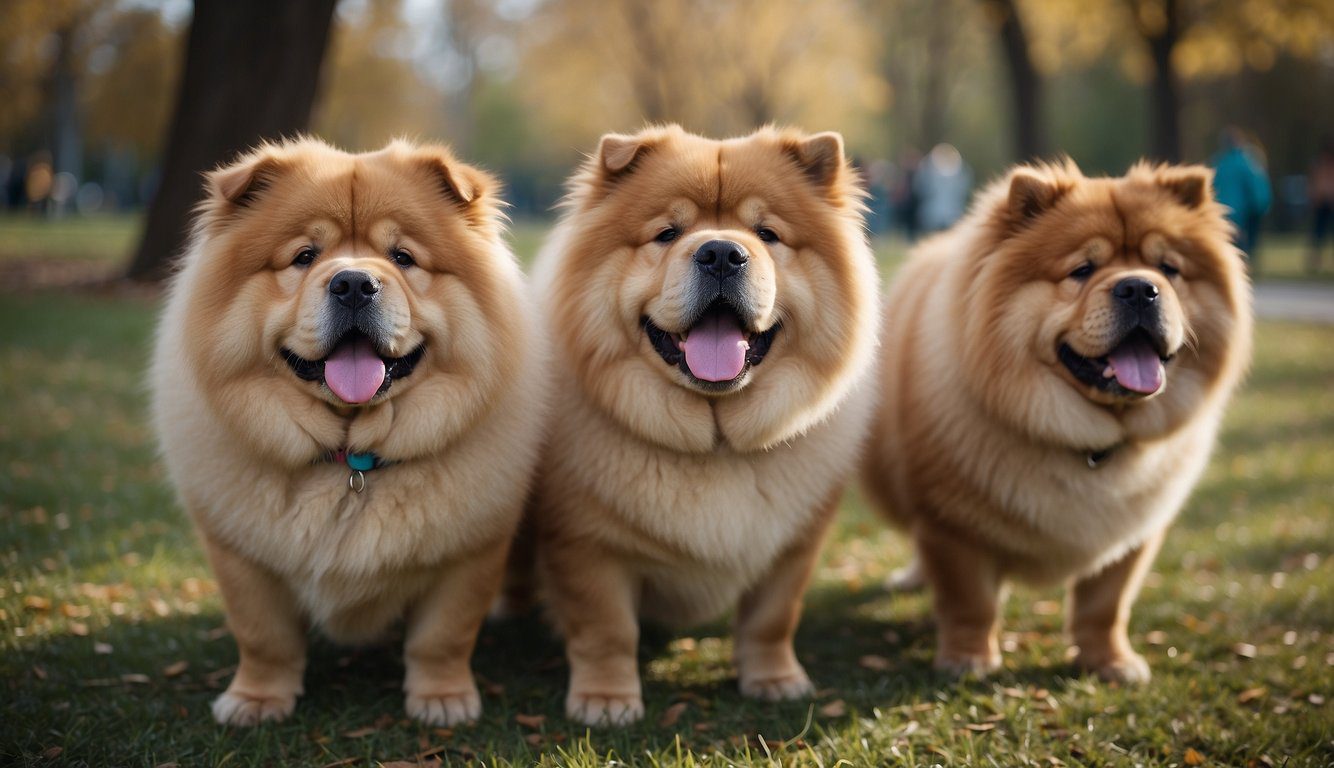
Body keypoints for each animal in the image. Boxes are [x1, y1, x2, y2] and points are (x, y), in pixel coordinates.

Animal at [146, 139, 541, 725]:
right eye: (305, 256)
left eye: (403, 258)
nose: (354, 282)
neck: (352, 462)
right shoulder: (240, 555)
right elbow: (263, 636)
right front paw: (256, 700)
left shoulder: (470, 552)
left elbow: (443, 636)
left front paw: (442, 699)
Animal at [525, 126, 880, 725]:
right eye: (667, 234)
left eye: (767, 234)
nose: (720, 253)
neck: (716, 445)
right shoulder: (585, 544)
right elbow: (606, 630)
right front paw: (606, 700)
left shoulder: (794, 546)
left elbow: (771, 619)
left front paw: (775, 681)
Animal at [864, 158, 1248, 680]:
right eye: (1082, 270)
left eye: (1169, 269)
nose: (1139, 287)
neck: (1088, 440)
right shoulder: (952, 525)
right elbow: (969, 601)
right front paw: (968, 659)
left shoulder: (1132, 535)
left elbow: (1105, 605)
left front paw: (1110, 662)